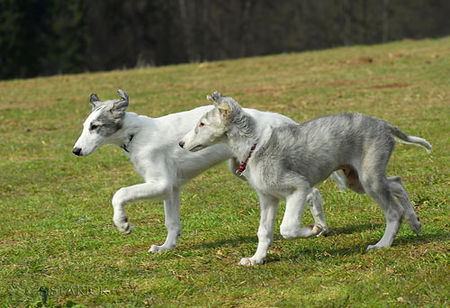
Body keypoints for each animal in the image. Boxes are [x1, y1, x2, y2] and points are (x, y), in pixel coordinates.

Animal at [72, 89, 328, 253]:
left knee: (311, 192)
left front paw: (122, 223)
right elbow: (172, 222)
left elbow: (120, 193)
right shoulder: (171, 189)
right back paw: (321, 227)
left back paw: (318, 227)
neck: (136, 134)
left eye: (95, 127)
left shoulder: (160, 184)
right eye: (85, 126)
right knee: (312, 192)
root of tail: (282, 119)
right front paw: (166, 247)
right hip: (242, 168)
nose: (76, 150)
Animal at [180, 91, 432, 264]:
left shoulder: (298, 188)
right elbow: (264, 232)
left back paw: (383, 244)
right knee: (397, 182)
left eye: (202, 124)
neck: (254, 146)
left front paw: (315, 229)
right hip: (357, 179)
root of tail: (384, 124)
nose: (181, 144)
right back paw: (415, 222)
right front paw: (256, 259)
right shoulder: (268, 198)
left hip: (369, 179)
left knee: (393, 211)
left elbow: (287, 228)